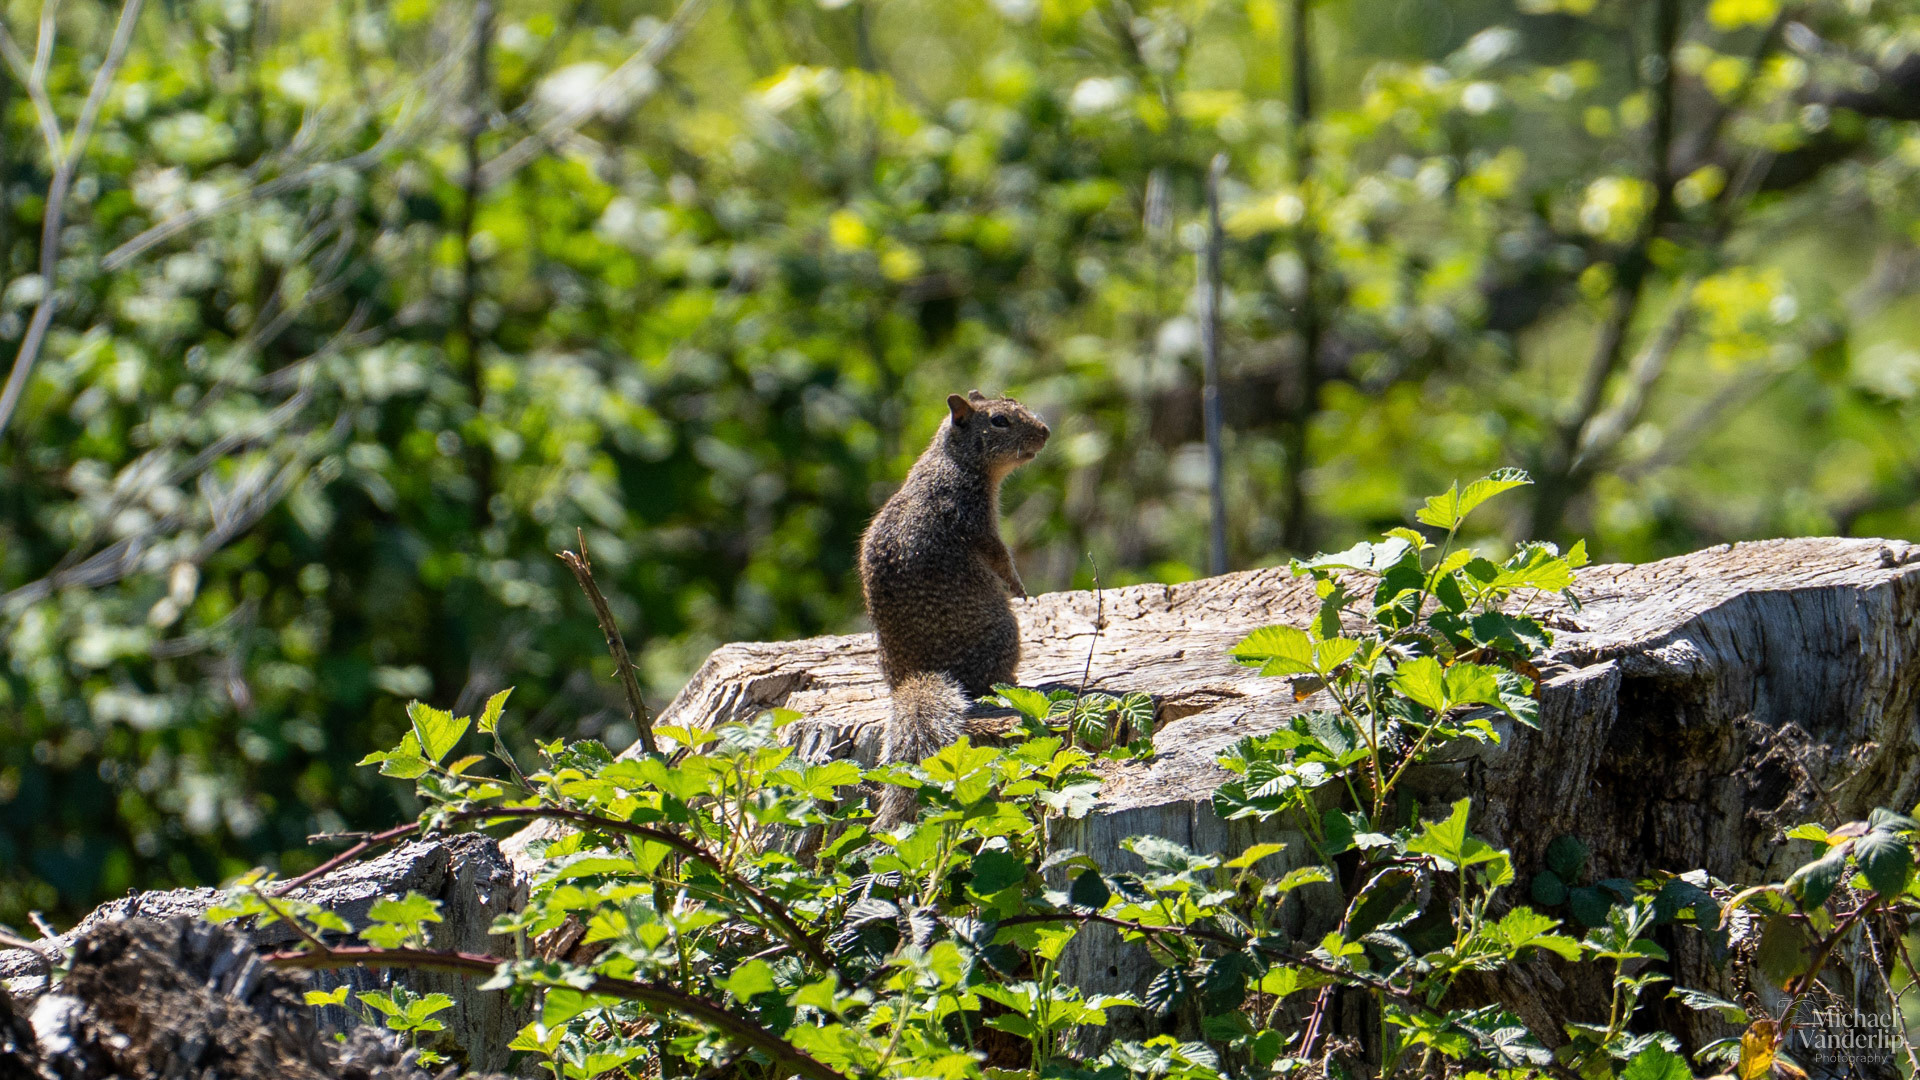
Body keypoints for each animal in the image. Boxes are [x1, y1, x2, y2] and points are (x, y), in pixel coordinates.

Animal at [859, 390, 1050, 824]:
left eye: (1015, 402)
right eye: (999, 420)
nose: (1046, 431)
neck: (951, 462)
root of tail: (918, 675)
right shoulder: (975, 519)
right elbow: (999, 556)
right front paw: (1018, 586)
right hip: (1008, 634)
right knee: (990, 682)